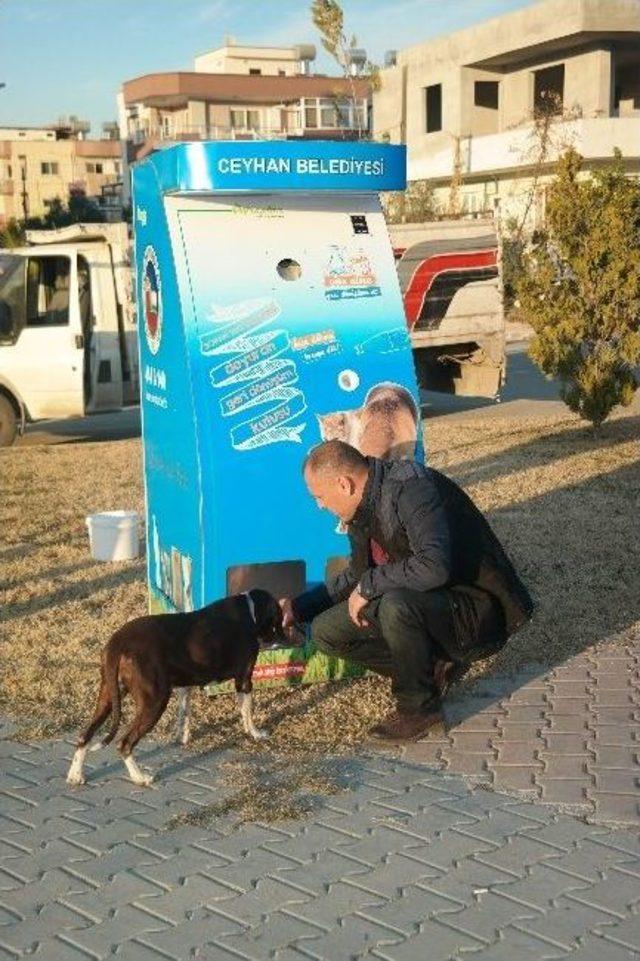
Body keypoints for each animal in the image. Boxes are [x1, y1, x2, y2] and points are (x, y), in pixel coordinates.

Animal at [66, 584, 284, 788]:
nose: (281, 640)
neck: (250, 609)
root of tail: (118, 642)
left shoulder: (185, 687)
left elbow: (184, 715)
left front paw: (182, 737)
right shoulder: (244, 680)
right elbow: (247, 712)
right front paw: (255, 733)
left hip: (108, 696)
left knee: (84, 736)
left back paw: (75, 775)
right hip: (155, 701)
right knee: (124, 744)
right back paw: (140, 778)